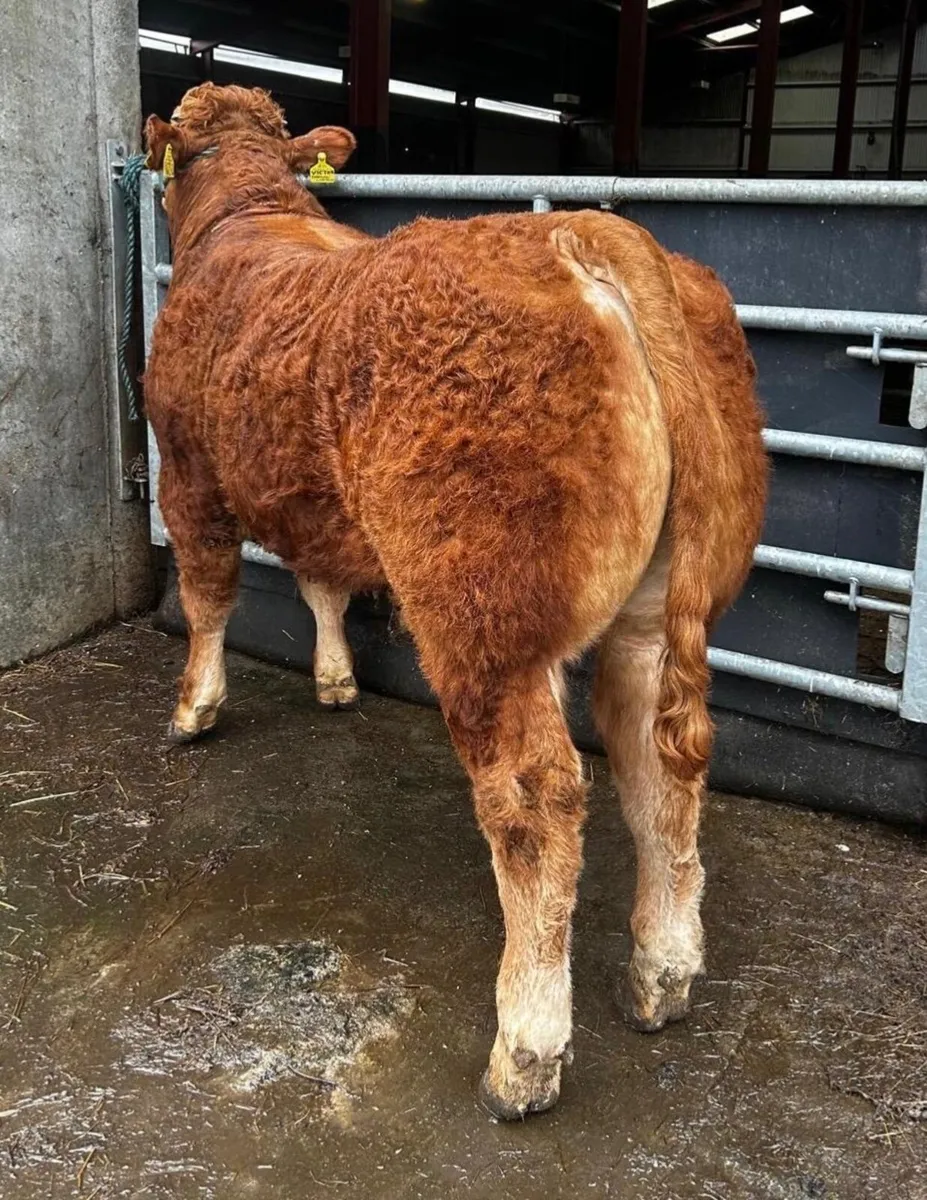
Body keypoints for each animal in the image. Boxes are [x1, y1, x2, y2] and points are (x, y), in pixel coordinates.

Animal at [143, 82, 768, 1120]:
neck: (249, 216)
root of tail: (580, 232)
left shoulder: (187, 473)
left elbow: (207, 596)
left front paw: (195, 707)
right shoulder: (317, 500)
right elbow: (320, 581)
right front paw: (334, 680)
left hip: (482, 618)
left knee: (536, 802)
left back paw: (525, 1049)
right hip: (655, 607)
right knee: (661, 771)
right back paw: (661, 973)